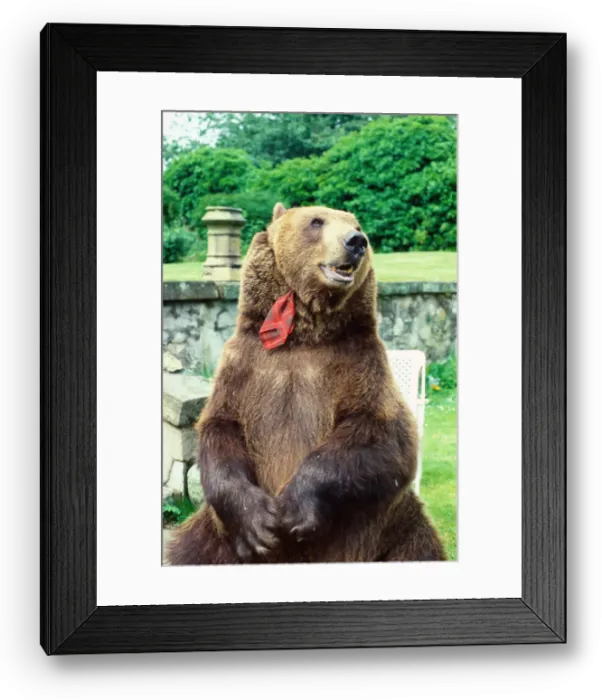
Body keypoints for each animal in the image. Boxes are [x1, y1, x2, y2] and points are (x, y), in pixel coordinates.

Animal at [165, 203, 447, 565]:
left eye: (357, 225)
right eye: (316, 221)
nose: (356, 241)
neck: (302, 336)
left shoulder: (361, 366)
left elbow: (382, 434)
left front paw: (295, 508)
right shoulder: (243, 366)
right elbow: (221, 428)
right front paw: (258, 524)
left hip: (396, 529)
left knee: (418, 545)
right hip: (214, 539)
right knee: (188, 549)